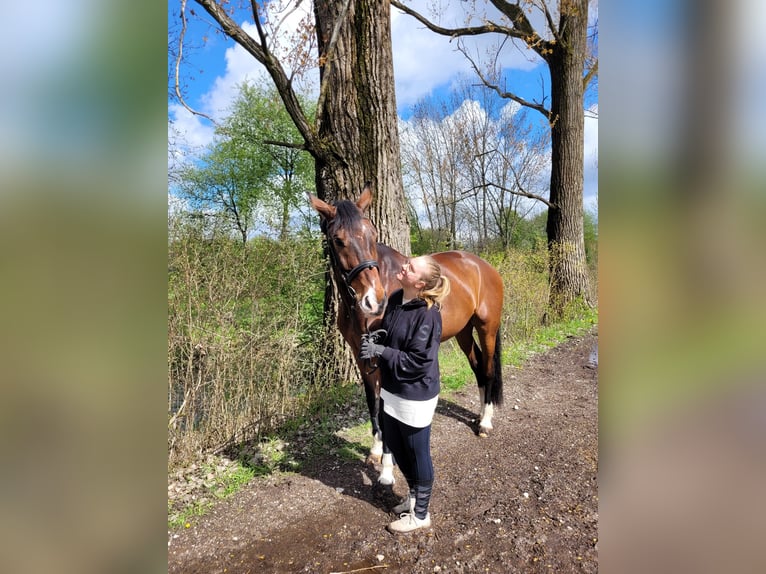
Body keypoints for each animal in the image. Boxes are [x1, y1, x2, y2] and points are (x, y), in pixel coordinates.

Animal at [309, 185, 504, 484]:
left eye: (372, 233)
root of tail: (482, 266)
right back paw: (480, 412)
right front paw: (376, 451)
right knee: (478, 367)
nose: (374, 301)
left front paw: (387, 470)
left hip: (487, 328)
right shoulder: (362, 355)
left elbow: (385, 408)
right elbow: (373, 403)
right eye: (337, 240)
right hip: (463, 332)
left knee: (490, 368)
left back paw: (485, 422)